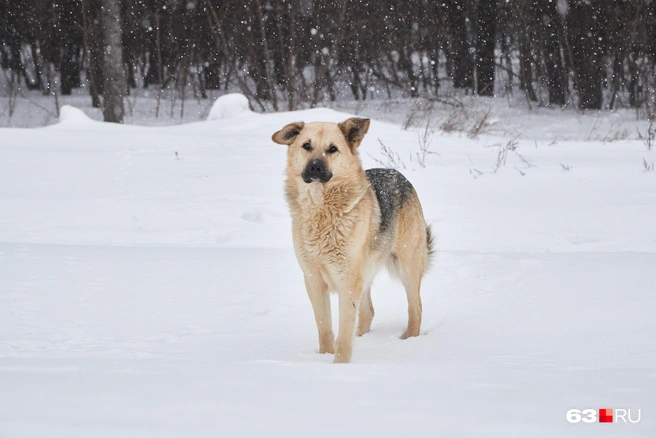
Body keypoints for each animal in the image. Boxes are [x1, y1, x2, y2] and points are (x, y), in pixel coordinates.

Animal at [270, 116, 430, 362]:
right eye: (306, 145)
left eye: (332, 149)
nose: (315, 167)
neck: (322, 213)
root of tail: (398, 173)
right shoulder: (314, 280)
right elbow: (325, 327)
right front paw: (323, 358)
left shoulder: (347, 281)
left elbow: (344, 334)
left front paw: (340, 365)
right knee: (368, 312)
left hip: (407, 266)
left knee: (416, 308)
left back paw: (410, 341)